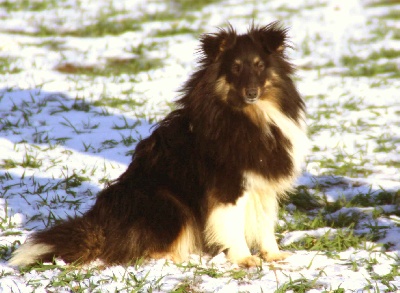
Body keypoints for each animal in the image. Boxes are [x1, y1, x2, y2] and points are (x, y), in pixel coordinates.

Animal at [10, 22, 310, 266]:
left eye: (259, 65)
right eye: (235, 68)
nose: (252, 92)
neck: (251, 115)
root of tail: (104, 229)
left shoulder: (262, 183)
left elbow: (265, 223)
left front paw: (273, 254)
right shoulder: (228, 186)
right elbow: (233, 224)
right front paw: (245, 258)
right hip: (168, 203)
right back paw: (173, 256)